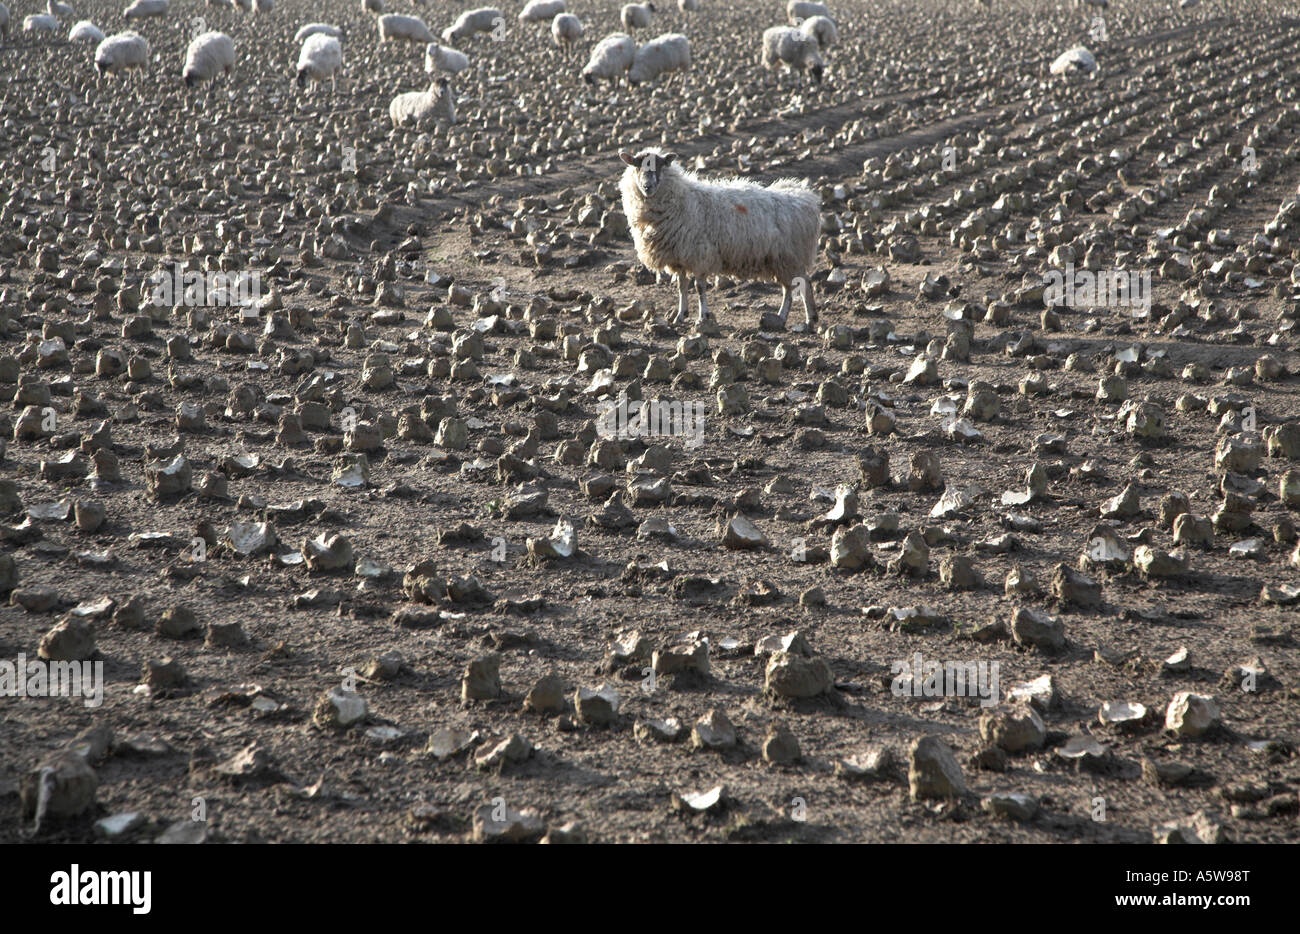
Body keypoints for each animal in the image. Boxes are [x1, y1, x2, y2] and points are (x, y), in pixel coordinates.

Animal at [618, 147, 820, 328]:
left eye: (660, 165)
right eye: (637, 166)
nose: (647, 186)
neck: (679, 199)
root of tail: (805, 197)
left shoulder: (700, 255)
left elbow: (699, 287)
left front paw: (702, 318)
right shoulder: (679, 257)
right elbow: (682, 287)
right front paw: (680, 316)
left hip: (791, 257)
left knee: (803, 284)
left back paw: (808, 319)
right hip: (782, 259)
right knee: (790, 288)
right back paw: (782, 317)